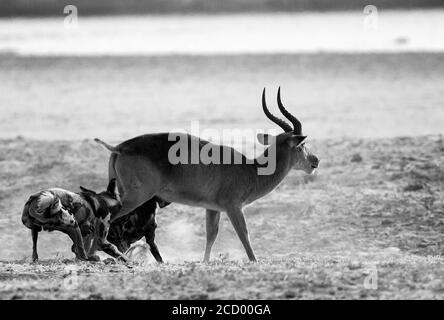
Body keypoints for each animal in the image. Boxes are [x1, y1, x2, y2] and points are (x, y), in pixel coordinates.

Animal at [95, 86, 320, 262]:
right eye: (302, 145)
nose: (315, 161)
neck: (252, 169)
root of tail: (120, 148)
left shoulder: (212, 208)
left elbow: (211, 235)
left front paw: (204, 262)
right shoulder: (233, 206)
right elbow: (244, 234)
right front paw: (255, 261)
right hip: (136, 197)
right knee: (110, 219)